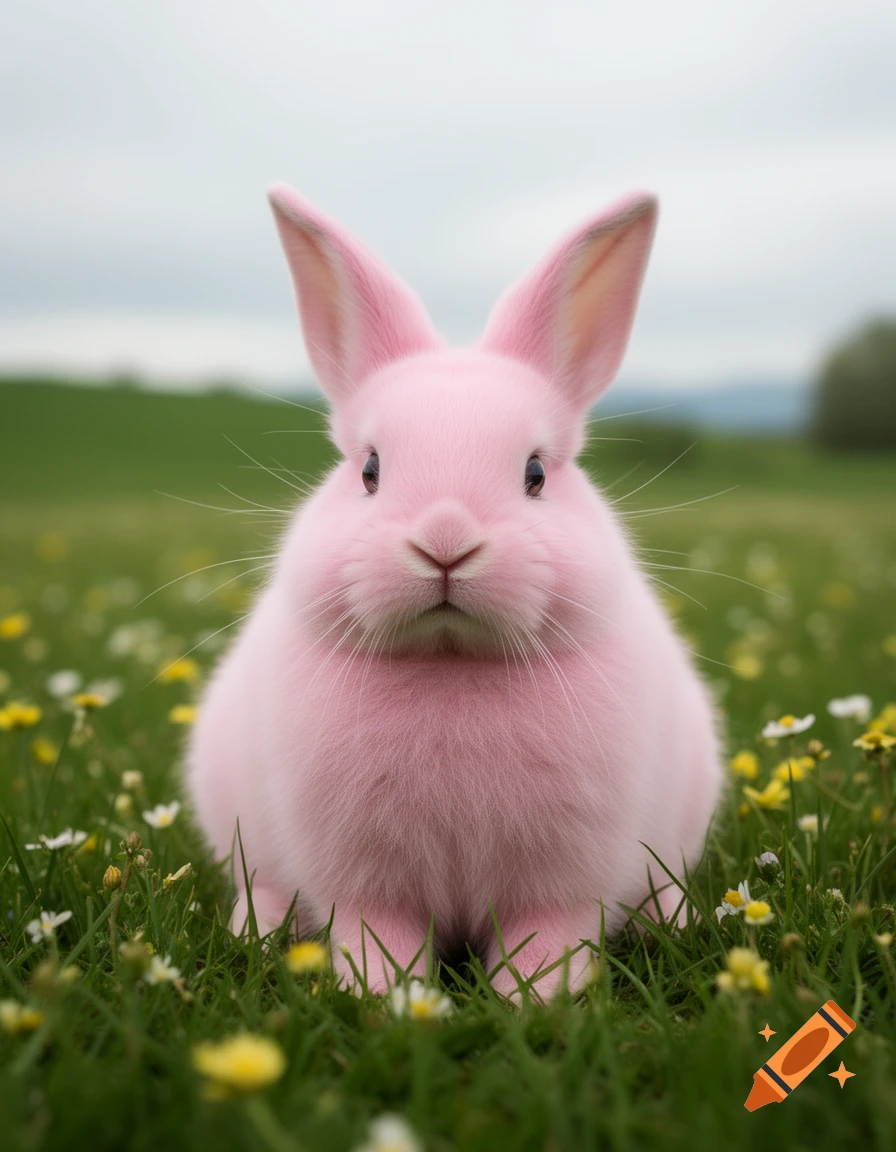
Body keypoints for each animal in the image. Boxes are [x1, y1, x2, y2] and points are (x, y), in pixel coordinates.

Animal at [186, 181, 723, 999]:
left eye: (535, 473)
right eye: (370, 470)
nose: (445, 540)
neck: (450, 660)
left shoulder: (563, 887)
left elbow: (546, 943)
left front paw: (533, 1004)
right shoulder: (366, 885)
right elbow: (378, 938)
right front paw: (391, 1000)